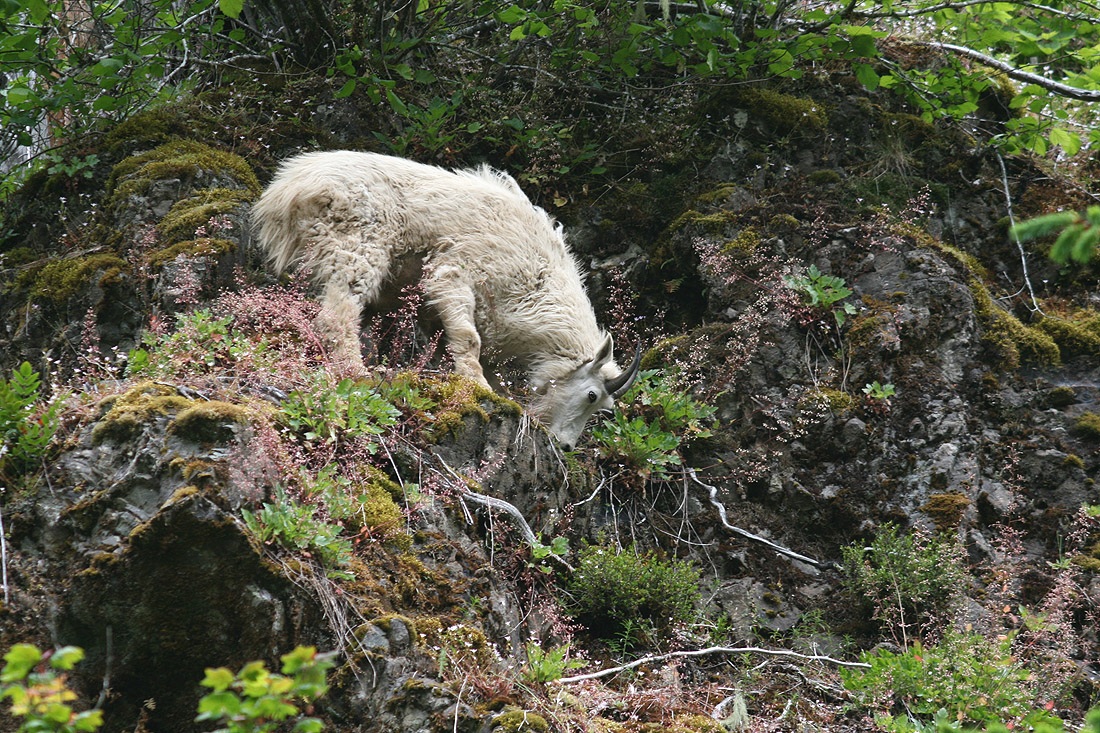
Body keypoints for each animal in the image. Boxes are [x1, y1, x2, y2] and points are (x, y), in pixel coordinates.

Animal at [251, 150, 641, 448]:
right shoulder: (456, 273)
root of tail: (289, 187)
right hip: (355, 247)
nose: (565, 445)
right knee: (337, 316)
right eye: (592, 395)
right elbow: (469, 340)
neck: (538, 281)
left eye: (603, 409)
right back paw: (357, 371)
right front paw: (481, 390)